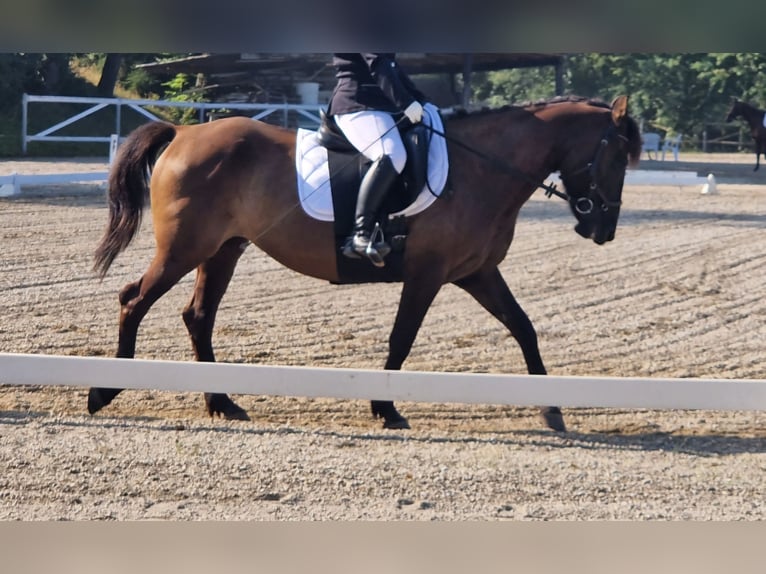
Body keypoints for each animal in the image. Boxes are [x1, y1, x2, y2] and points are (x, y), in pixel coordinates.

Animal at [88, 97, 640, 434]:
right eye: (617, 157)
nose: (603, 231)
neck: (480, 169)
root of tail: (183, 131)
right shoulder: (427, 274)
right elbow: (402, 338)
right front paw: (385, 407)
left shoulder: (476, 273)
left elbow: (523, 328)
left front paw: (552, 408)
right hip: (185, 249)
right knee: (134, 300)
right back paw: (103, 390)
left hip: (222, 250)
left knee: (198, 317)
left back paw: (222, 402)